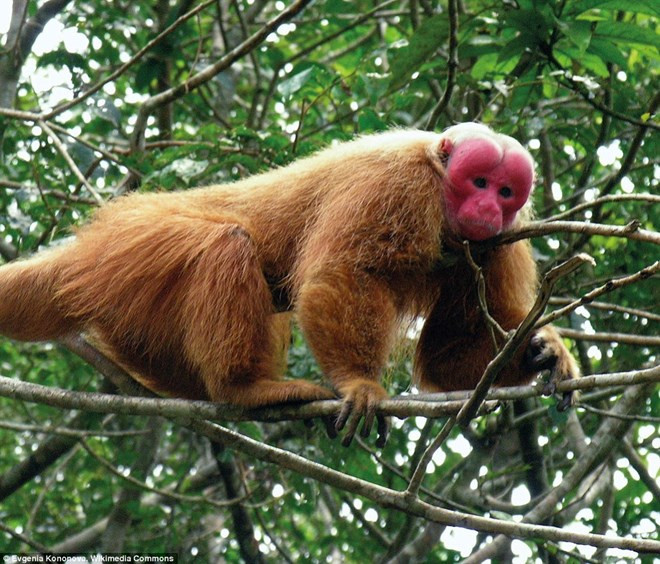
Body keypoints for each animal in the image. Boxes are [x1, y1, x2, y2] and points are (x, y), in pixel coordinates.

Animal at [0, 123, 579, 446]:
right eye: (478, 182)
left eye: (506, 191)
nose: (488, 209)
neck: (441, 194)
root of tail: (93, 240)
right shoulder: (394, 185)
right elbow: (341, 274)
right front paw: (359, 384)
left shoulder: (495, 245)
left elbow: (446, 356)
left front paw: (540, 351)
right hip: (138, 242)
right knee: (226, 244)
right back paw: (244, 388)